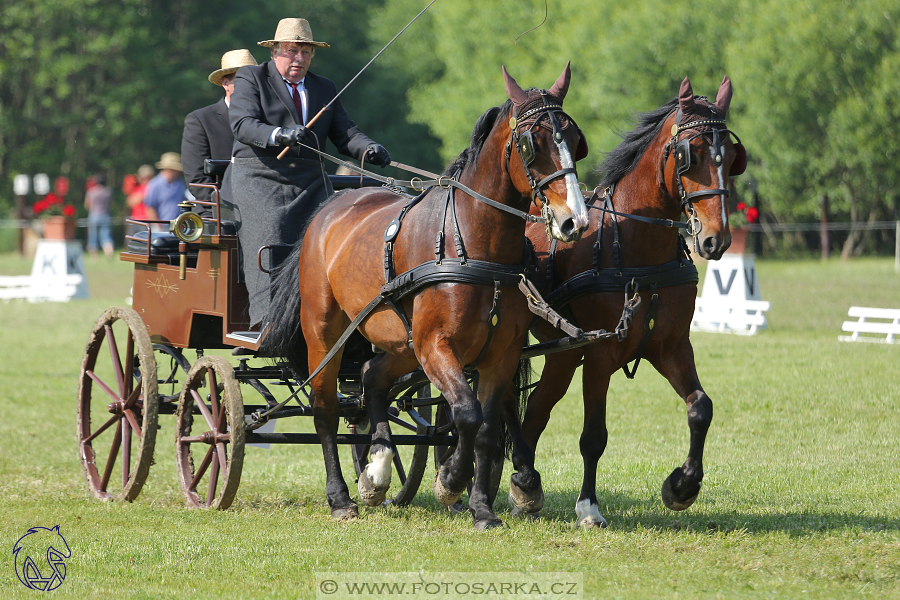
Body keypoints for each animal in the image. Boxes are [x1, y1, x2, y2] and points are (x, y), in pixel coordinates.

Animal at [264, 63, 596, 528]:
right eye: (532, 144)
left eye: (576, 141)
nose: (575, 221)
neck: (474, 244)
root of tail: (330, 208)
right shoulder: (436, 344)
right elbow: (467, 413)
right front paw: (451, 480)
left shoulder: (500, 353)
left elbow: (488, 426)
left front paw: (481, 508)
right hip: (326, 334)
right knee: (325, 407)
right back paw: (341, 497)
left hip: (401, 341)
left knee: (371, 376)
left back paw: (377, 469)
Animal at [506, 77, 744, 528]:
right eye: (688, 155)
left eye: (732, 156)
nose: (716, 239)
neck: (637, 250)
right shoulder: (600, 355)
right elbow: (593, 436)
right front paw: (588, 506)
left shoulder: (671, 347)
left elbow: (700, 408)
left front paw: (682, 486)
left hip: (565, 353)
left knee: (535, 413)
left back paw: (523, 485)